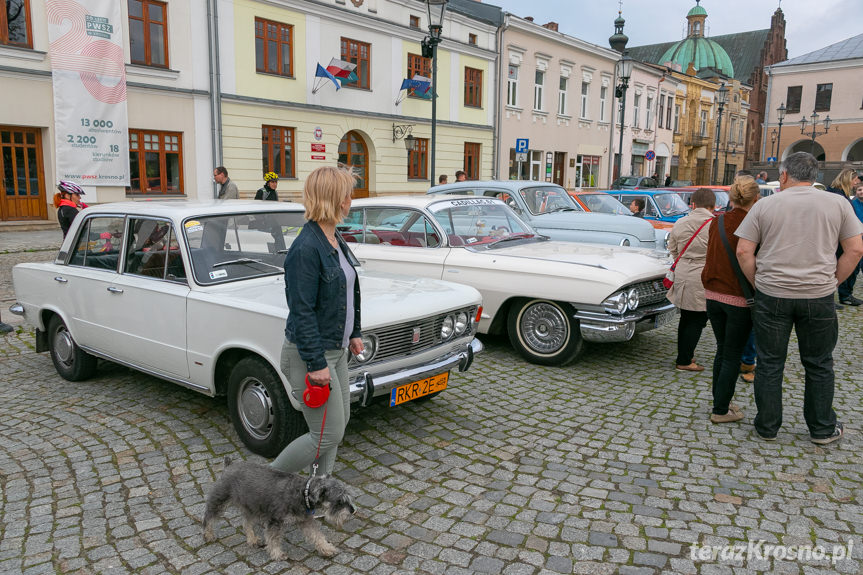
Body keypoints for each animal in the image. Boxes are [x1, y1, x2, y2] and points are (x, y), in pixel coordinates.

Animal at [204, 456, 356, 560]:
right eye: (339, 501)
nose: (353, 511)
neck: (303, 493)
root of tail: (229, 465)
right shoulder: (274, 521)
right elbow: (274, 539)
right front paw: (277, 554)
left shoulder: (305, 521)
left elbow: (317, 536)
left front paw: (327, 549)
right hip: (219, 501)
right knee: (208, 518)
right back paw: (208, 535)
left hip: (251, 507)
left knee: (246, 523)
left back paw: (252, 540)